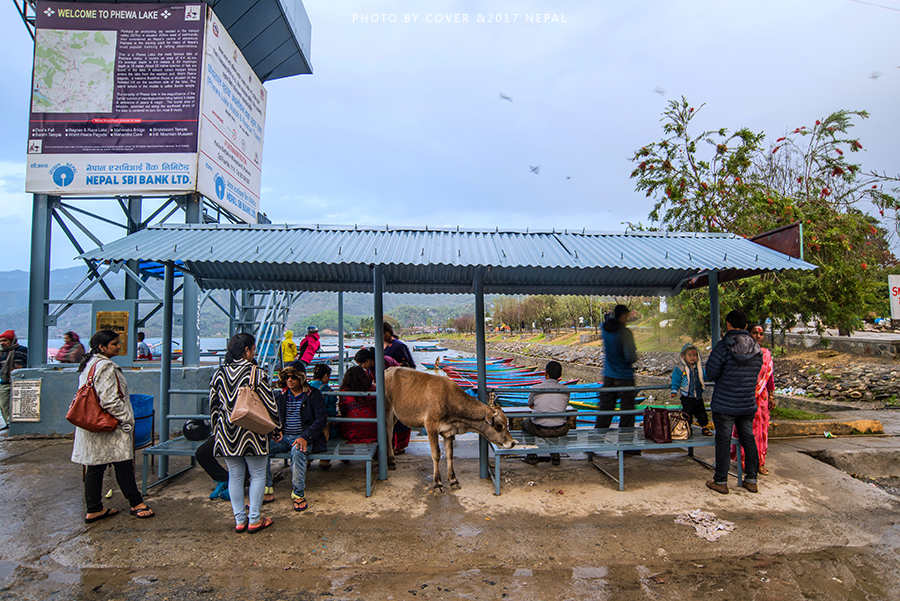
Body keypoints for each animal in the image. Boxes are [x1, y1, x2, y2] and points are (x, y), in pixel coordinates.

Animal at [384, 368, 512, 490]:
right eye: (499, 426)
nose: (512, 443)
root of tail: (388, 370)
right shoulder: (431, 427)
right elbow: (436, 454)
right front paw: (437, 483)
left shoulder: (448, 431)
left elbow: (450, 454)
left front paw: (453, 480)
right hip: (388, 410)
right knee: (388, 433)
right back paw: (391, 461)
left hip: (396, 415)